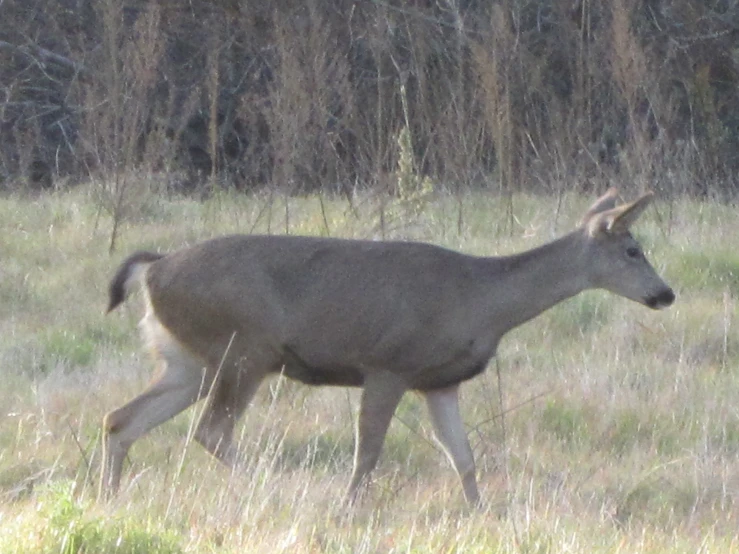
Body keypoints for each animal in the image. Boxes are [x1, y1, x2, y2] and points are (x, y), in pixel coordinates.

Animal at [99, 190, 676, 504]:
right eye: (633, 249)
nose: (665, 294)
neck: (481, 299)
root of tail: (154, 269)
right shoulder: (388, 364)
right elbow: (369, 452)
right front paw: (349, 510)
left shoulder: (439, 382)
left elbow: (463, 457)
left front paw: (483, 514)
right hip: (245, 346)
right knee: (212, 430)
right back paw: (271, 486)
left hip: (189, 360)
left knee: (121, 419)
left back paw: (107, 497)